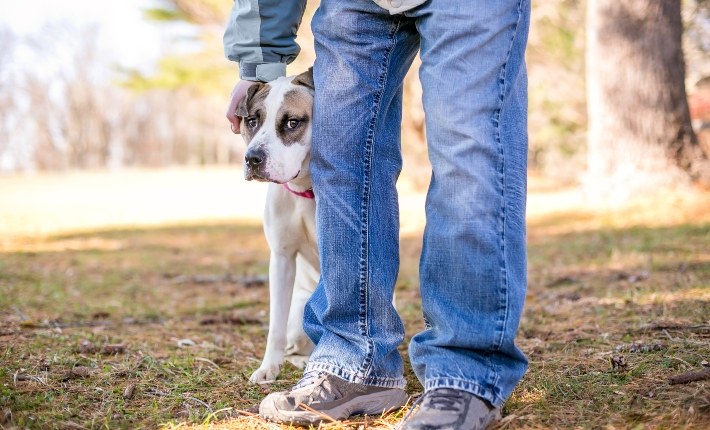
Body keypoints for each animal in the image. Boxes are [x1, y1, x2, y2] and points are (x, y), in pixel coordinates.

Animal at [238, 69, 318, 384]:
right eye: (252, 121)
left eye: (292, 122)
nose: (252, 158)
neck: (306, 190)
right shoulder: (282, 258)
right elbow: (275, 327)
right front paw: (267, 368)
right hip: (299, 317)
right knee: (294, 345)